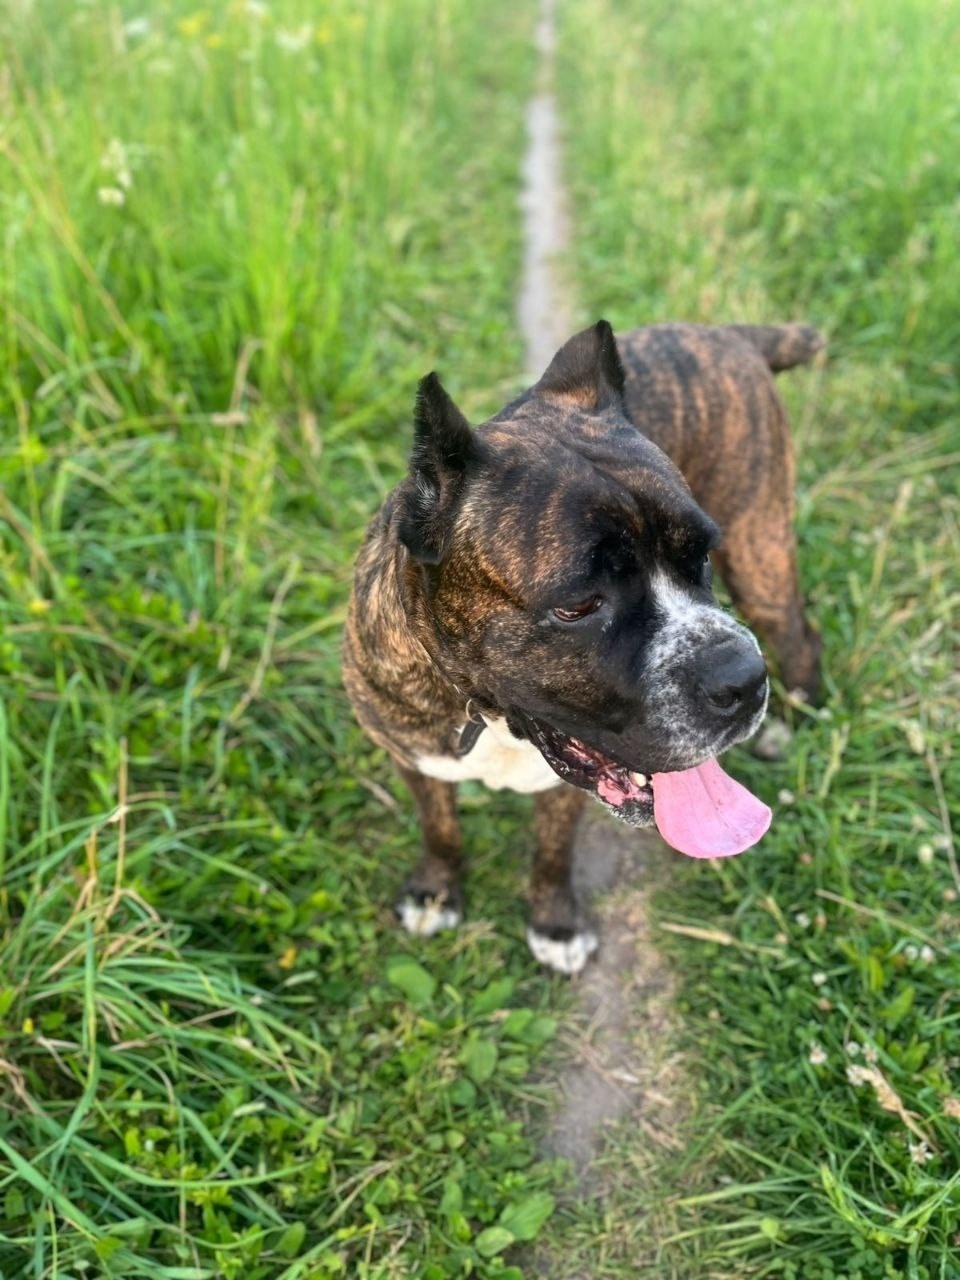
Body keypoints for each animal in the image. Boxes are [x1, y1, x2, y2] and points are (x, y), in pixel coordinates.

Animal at [342, 321, 823, 973]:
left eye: (700, 555)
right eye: (579, 606)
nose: (743, 680)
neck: (484, 714)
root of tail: (724, 331)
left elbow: (551, 852)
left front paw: (555, 924)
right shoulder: (415, 758)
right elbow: (440, 829)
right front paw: (436, 892)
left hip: (760, 555)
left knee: (801, 637)